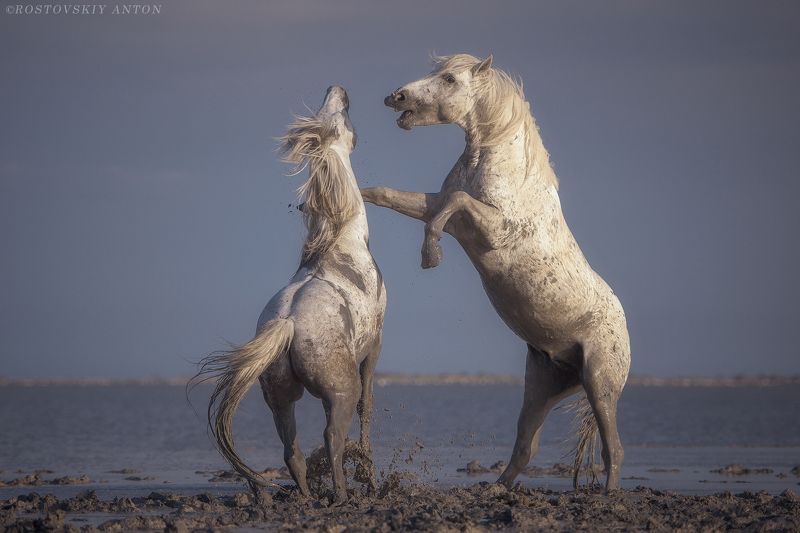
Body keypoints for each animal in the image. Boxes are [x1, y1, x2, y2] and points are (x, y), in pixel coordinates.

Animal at [195, 85, 386, 500]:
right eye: (344, 120)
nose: (338, 89)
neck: (340, 239)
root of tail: (290, 324)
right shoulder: (376, 341)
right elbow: (368, 406)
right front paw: (370, 474)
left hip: (279, 397)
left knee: (291, 451)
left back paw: (308, 496)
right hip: (338, 391)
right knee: (332, 437)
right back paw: (343, 495)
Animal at [362, 54, 632, 490]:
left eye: (450, 79)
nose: (396, 96)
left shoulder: (490, 227)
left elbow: (453, 203)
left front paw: (430, 256)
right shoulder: (445, 211)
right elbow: (394, 195)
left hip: (600, 383)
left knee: (613, 448)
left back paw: (607, 495)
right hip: (542, 386)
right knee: (526, 446)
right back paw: (495, 487)